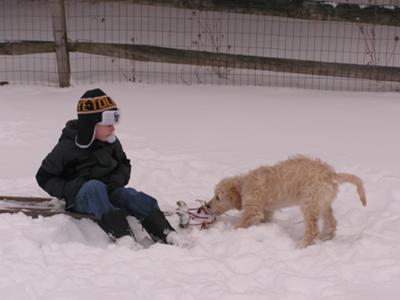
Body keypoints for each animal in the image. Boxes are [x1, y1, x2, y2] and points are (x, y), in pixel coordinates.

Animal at [208, 156, 368, 247]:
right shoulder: (265, 210)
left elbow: (242, 222)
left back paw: (301, 245)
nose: (207, 206)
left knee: (312, 230)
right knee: (331, 221)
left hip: (309, 202)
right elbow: (264, 219)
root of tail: (331, 174)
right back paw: (326, 237)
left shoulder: (252, 208)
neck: (243, 184)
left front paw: (230, 231)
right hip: (322, 202)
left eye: (217, 197)